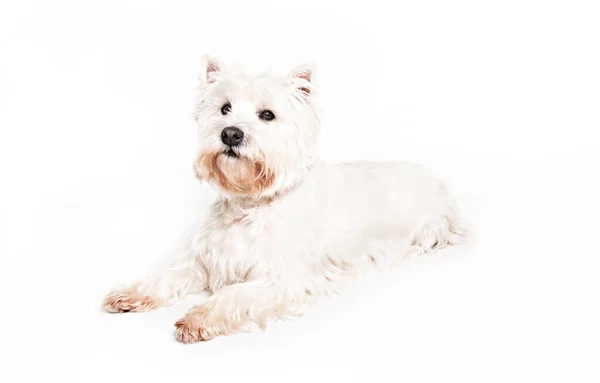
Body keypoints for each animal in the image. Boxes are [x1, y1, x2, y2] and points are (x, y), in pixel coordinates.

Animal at [103, 55, 468, 344]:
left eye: (267, 115)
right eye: (224, 109)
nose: (230, 133)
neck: (251, 203)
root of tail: (437, 178)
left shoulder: (282, 279)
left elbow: (234, 293)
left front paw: (199, 318)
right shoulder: (201, 258)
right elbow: (168, 274)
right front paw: (131, 293)